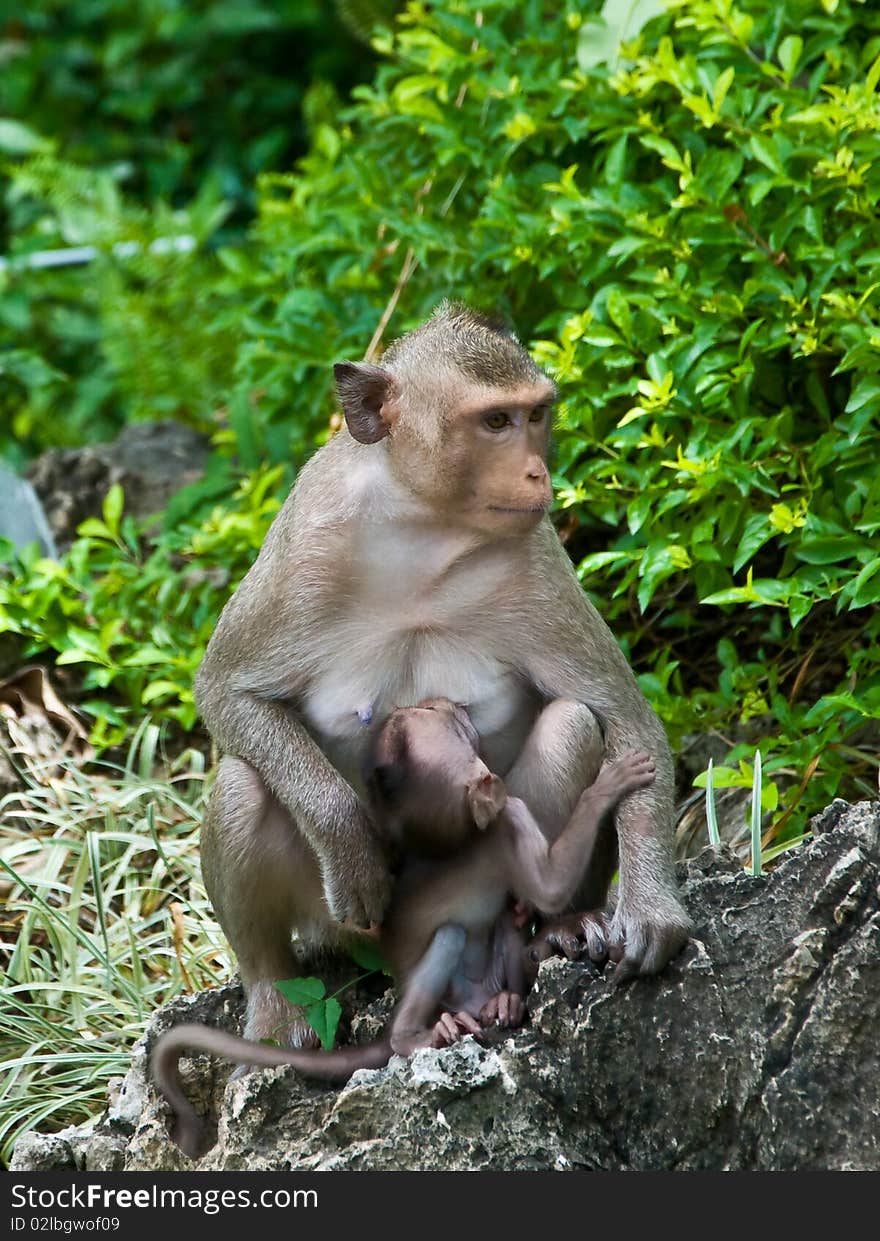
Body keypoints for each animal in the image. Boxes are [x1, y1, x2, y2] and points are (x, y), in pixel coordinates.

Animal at [150, 699, 650, 1151]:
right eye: (445, 720)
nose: (450, 703)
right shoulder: (512, 816)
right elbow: (550, 885)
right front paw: (608, 787)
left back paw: (512, 992)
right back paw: (418, 1033)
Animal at [196, 302, 690, 1047]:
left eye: (536, 414)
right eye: (495, 422)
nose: (537, 474)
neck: (423, 530)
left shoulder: (536, 559)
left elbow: (624, 722)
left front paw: (653, 908)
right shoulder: (302, 550)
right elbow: (227, 690)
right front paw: (350, 847)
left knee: (573, 723)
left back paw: (557, 923)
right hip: (339, 928)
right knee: (242, 782)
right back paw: (278, 1005)